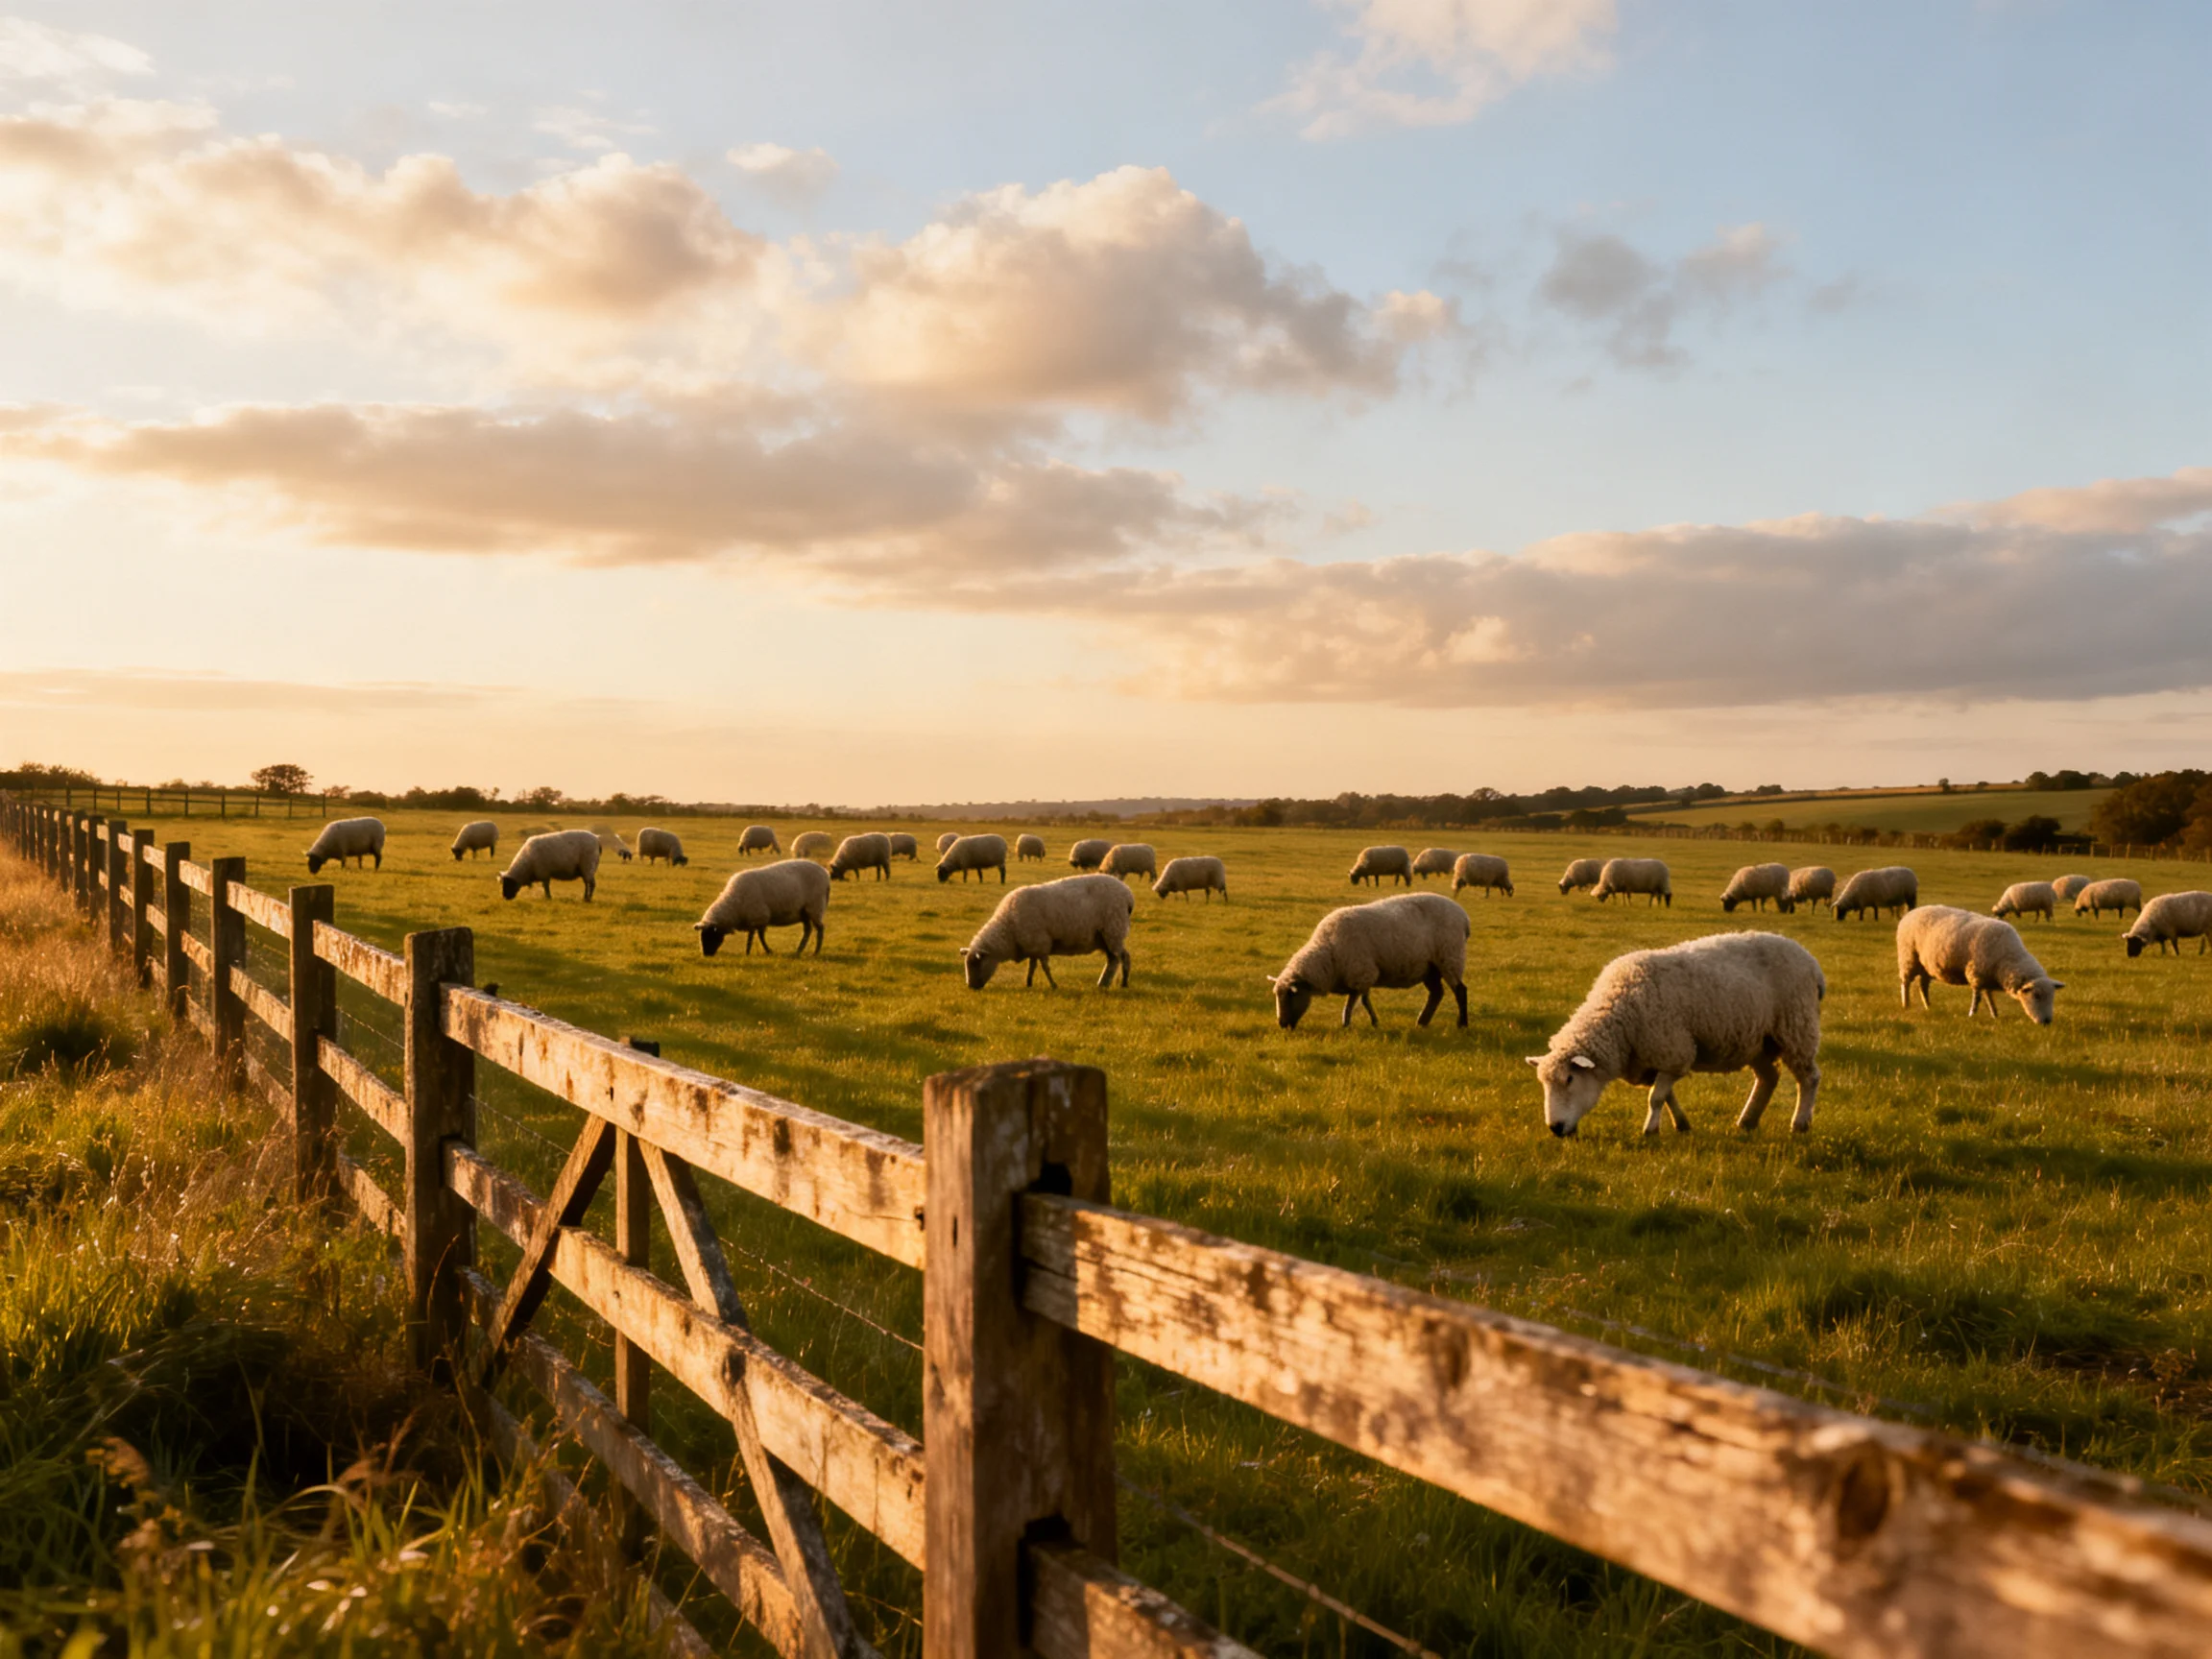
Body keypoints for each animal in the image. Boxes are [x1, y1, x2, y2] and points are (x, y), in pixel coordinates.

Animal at [694, 858, 830, 957]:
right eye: (702, 936)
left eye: (711, 936)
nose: (706, 955)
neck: (734, 902)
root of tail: (825, 873)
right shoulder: (754, 919)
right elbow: (756, 935)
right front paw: (756, 951)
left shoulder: (759, 916)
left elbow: (756, 936)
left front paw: (753, 952)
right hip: (804, 912)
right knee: (808, 930)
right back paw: (799, 951)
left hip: (815, 907)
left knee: (820, 929)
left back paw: (815, 952)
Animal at [960, 873, 1133, 990]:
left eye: (976, 964)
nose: (970, 986)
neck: (1008, 928)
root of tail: (1128, 894)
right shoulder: (1033, 946)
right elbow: (1032, 966)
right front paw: (1028, 983)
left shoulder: (1041, 944)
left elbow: (1044, 967)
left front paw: (1053, 985)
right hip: (1105, 936)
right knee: (1113, 959)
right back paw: (1103, 983)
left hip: (1113, 930)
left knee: (1122, 957)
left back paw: (1123, 983)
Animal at [1269, 893, 1469, 1030]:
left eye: (1291, 995)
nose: (1281, 1024)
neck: (1328, 952)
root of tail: (1462, 914)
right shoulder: (1354, 978)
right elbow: (1351, 1002)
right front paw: (1347, 1024)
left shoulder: (1364, 973)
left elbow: (1363, 1001)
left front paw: (1372, 1022)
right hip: (1430, 967)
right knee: (1436, 994)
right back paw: (1422, 1022)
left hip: (1450, 956)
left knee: (1460, 991)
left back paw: (1462, 1024)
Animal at [1526, 932, 1825, 1136]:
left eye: (1569, 1079)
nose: (1555, 1128)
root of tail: (1811, 960)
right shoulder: (1657, 1060)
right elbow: (1666, 1095)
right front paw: (1682, 1124)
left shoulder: (1674, 1052)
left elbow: (1656, 1098)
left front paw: (1651, 1131)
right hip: (1758, 1040)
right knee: (1768, 1078)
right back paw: (1747, 1121)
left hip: (1797, 1028)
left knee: (1809, 1078)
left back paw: (1800, 1123)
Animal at [1897, 905, 2063, 1023]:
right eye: (2036, 995)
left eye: (2053, 996)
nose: (2047, 1021)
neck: (2008, 957)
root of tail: (1911, 913)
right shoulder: (1976, 973)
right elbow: (1977, 997)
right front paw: (1972, 1014)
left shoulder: (1986, 976)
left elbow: (1989, 997)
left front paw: (1994, 1014)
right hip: (1908, 957)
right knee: (1906, 983)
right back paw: (1906, 1005)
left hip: (1925, 966)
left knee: (1923, 986)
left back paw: (1928, 1006)